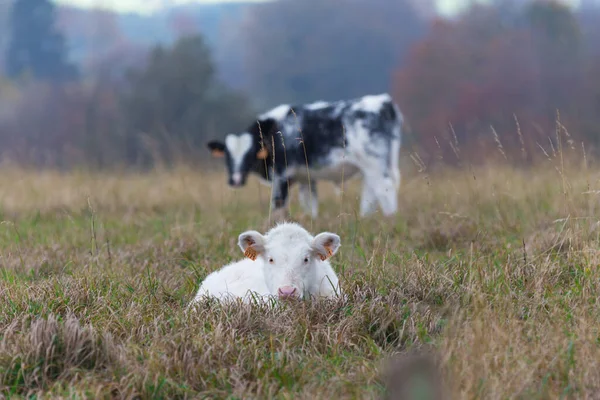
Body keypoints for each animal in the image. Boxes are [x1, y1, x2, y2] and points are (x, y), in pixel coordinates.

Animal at [207, 93, 404, 219]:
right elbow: (310, 204)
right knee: (371, 193)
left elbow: (278, 204)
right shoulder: (305, 177)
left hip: (374, 163)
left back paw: (390, 219)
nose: (235, 180)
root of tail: (383, 102)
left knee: (384, 189)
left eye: (250, 155)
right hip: (371, 168)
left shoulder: (281, 175)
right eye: (227, 157)